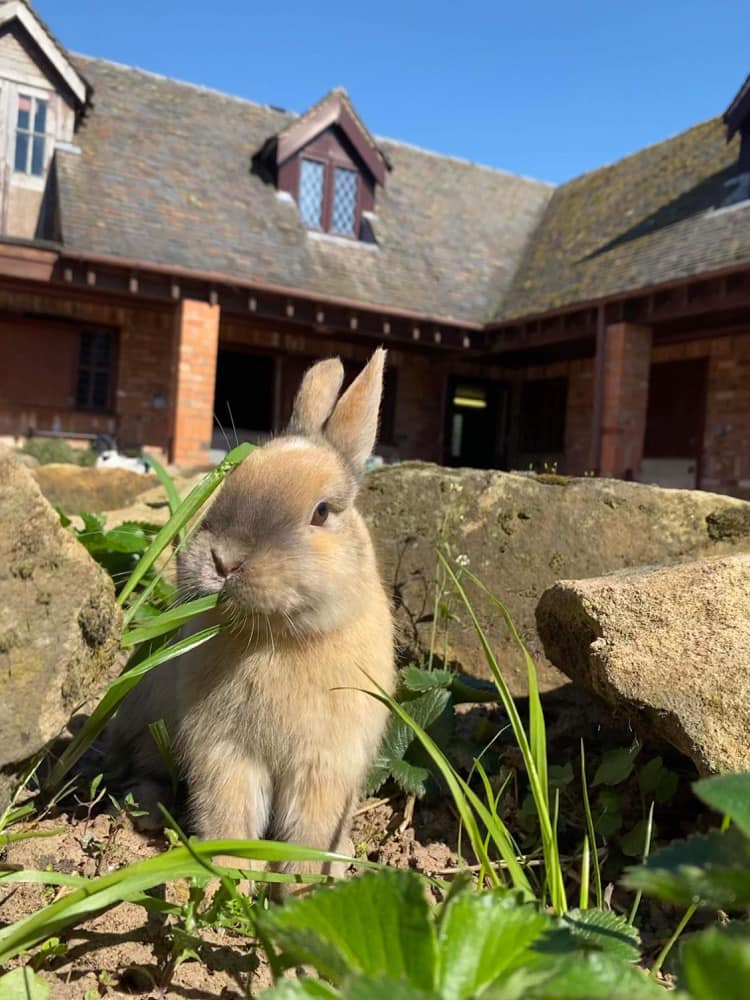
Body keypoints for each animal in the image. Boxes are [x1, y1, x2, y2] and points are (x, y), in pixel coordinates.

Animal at [104, 349, 395, 885]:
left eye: (322, 512)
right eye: (230, 484)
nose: (224, 561)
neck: (277, 637)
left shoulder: (326, 765)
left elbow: (310, 827)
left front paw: (304, 879)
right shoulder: (225, 753)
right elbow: (229, 811)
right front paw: (234, 866)